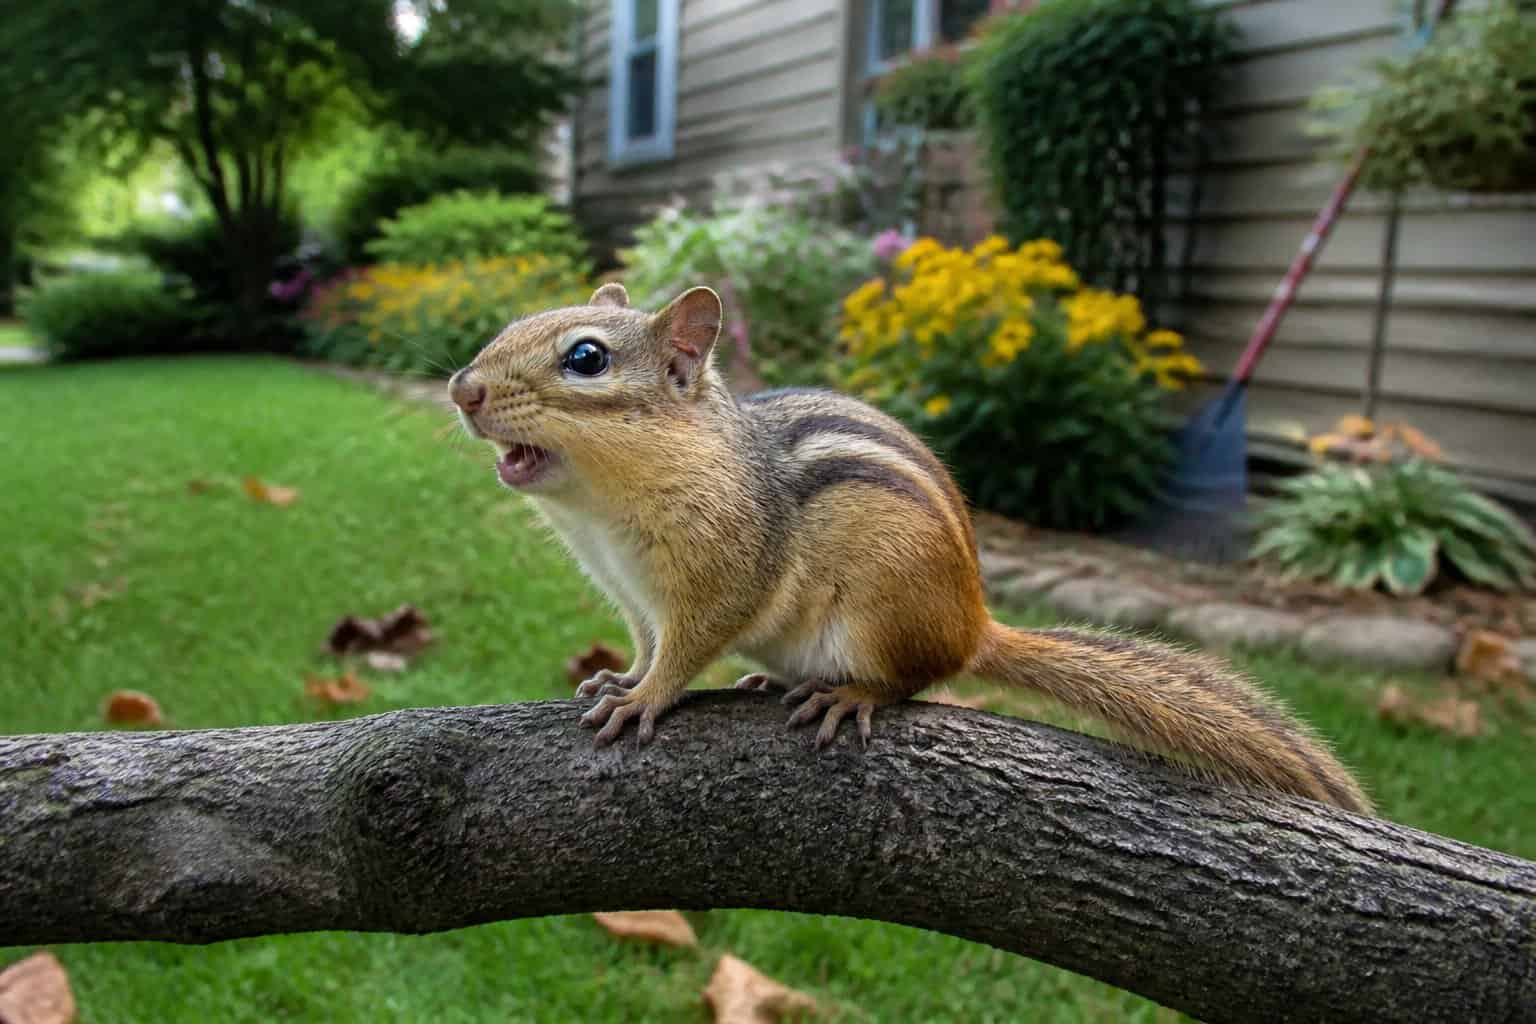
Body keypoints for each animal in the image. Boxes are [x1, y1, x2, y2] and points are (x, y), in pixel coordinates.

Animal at [448, 282, 1373, 815]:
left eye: (586, 358)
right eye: (516, 323)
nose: (462, 388)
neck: (603, 517)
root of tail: (975, 623)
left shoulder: (720, 577)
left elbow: (688, 649)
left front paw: (645, 700)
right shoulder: (633, 596)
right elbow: (646, 644)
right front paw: (620, 678)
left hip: (881, 614)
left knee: (912, 679)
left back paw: (847, 694)